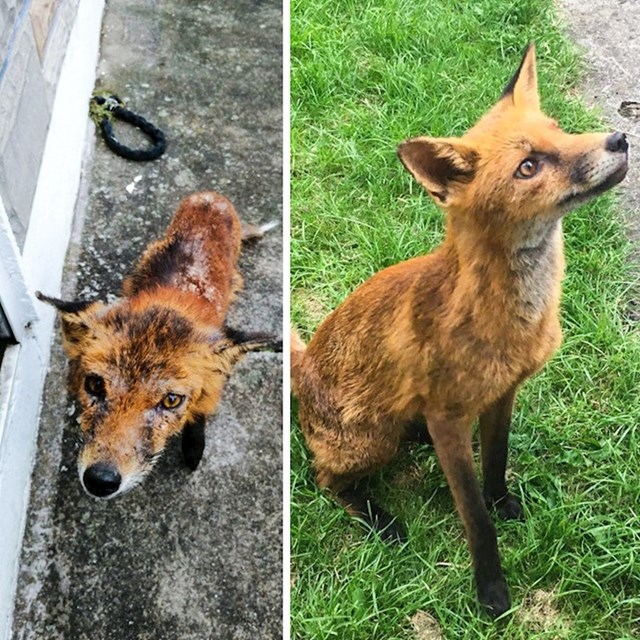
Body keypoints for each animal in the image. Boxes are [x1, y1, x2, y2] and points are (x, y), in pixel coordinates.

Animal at [38, 190, 280, 500]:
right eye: (94, 385)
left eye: (171, 400)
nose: (100, 480)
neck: (175, 295)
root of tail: (210, 196)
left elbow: (199, 417)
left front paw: (194, 449)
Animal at [292, 43, 632, 616]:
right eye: (528, 167)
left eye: (559, 130)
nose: (619, 139)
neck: (514, 320)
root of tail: (301, 367)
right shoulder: (449, 419)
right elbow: (475, 518)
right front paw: (491, 591)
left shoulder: (502, 394)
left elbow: (495, 463)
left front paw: (506, 504)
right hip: (370, 443)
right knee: (325, 479)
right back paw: (378, 519)